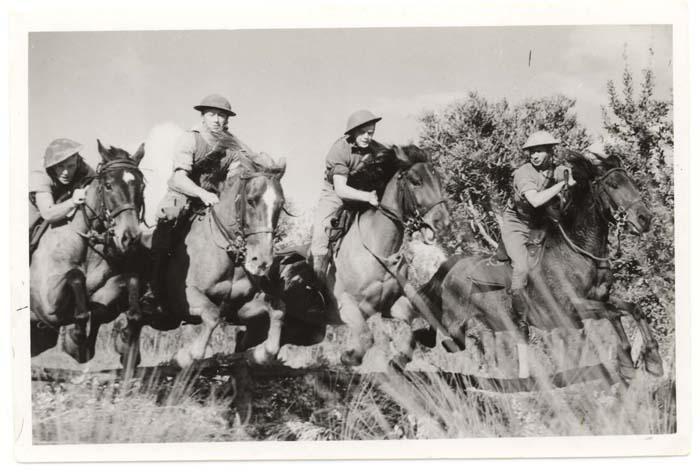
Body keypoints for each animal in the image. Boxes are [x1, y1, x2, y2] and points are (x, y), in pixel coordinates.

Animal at [30, 139, 146, 362]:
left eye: (142, 186)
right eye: (108, 186)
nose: (130, 238)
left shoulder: (106, 292)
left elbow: (128, 284)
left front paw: (124, 340)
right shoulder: (47, 305)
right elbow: (75, 277)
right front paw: (75, 339)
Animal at [115, 151, 288, 366]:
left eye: (281, 205)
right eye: (251, 200)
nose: (262, 262)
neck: (226, 253)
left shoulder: (239, 307)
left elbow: (278, 311)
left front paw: (258, 354)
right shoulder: (184, 298)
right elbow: (212, 315)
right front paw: (185, 356)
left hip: (165, 320)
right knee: (129, 319)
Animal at [396, 150, 664, 384]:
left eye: (631, 181)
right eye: (614, 185)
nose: (645, 219)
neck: (578, 251)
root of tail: (451, 267)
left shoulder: (601, 297)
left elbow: (631, 309)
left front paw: (650, 361)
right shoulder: (573, 308)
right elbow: (615, 313)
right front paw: (634, 361)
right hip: (454, 326)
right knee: (438, 339)